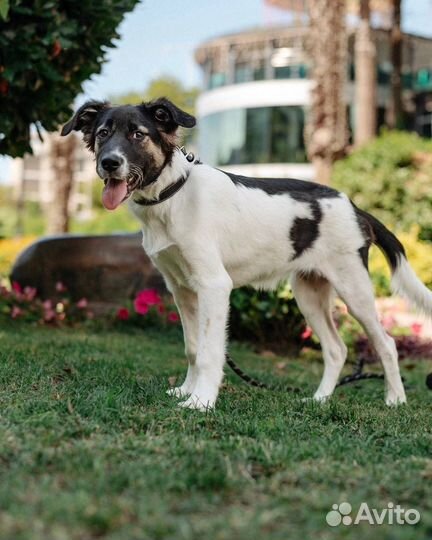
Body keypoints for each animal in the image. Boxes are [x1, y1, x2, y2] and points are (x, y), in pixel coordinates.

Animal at [60, 98, 432, 410]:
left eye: (138, 134)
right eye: (103, 134)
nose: (109, 163)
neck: (172, 196)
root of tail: (354, 206)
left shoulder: (214, 286)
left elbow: (210, 351)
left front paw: (201, 401)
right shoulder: (181, 289)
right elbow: (193, 348)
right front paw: (186, 390)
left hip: (353, 288)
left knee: (386, 343)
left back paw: (395, 399)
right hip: (308, 292)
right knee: (337, 349)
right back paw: (320, 399)